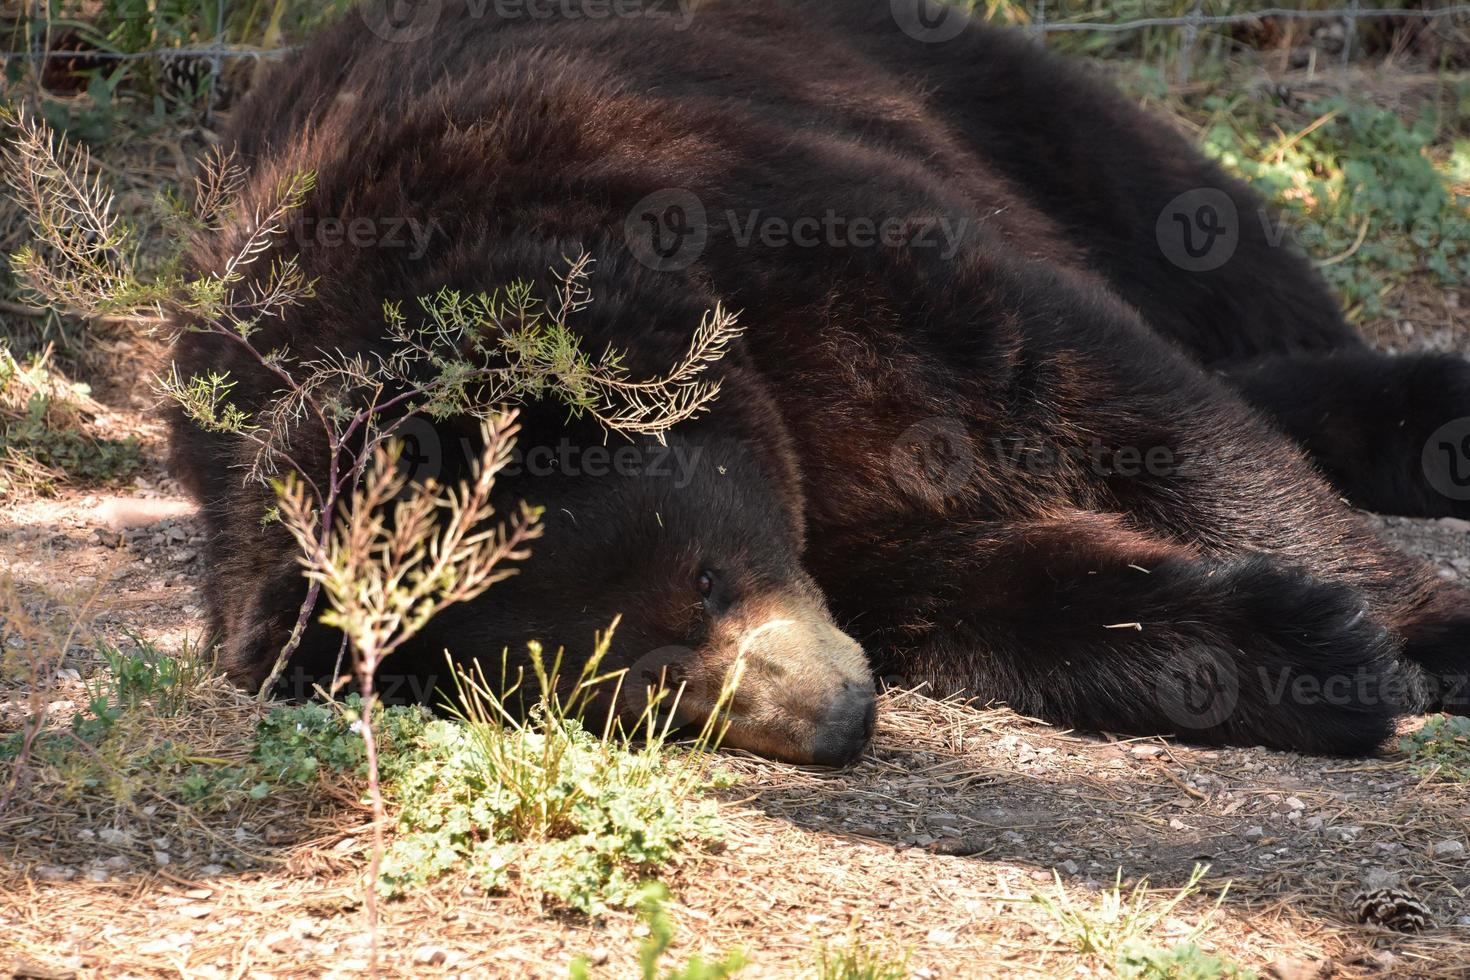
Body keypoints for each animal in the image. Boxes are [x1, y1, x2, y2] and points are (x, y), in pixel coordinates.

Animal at [166, 0, 1470, 764]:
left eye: (703, 573)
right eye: (618, 687)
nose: (835, 716)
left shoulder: (780, 221)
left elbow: (1107, 392)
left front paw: (1401, 627)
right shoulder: (844, 520)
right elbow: (981, 588)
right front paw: (1294, 648)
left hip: (938, 79)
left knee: (1193, 240)